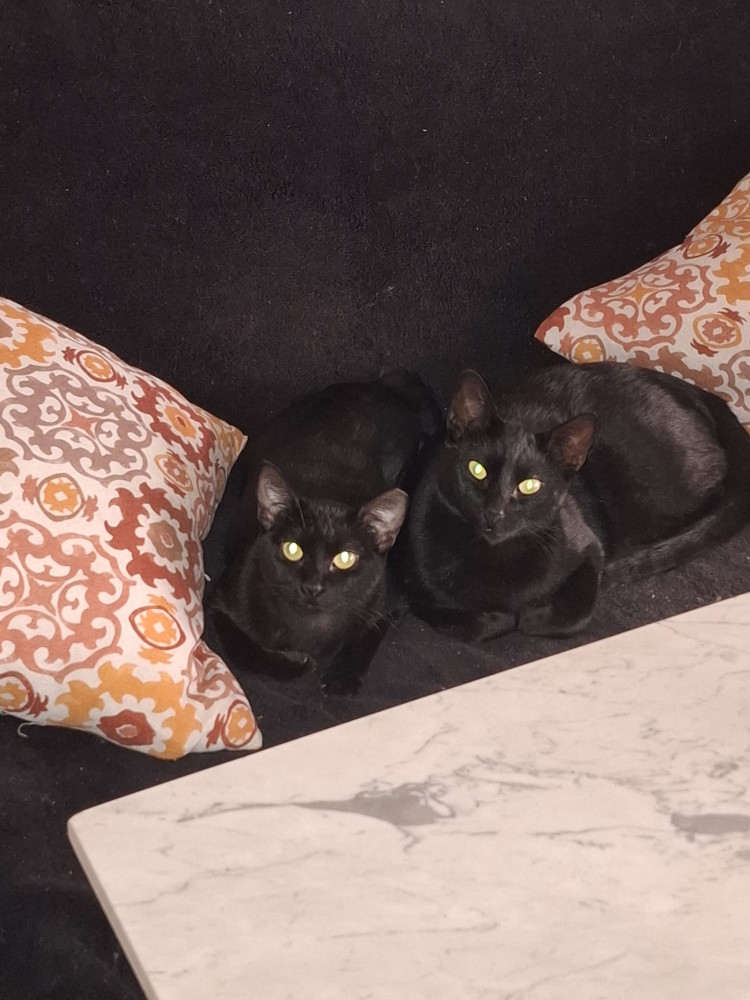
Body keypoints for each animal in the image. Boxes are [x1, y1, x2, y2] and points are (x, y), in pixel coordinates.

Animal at [207, 372, 440, 694]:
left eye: (345, 558)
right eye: (292, 549)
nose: (313, 586)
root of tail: (382, 387)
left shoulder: (393, 597)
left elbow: (369, 632)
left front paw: (341, 677)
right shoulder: (220, 601)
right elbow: (242, 651)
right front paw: (296, 663)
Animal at [401, 361, 750, 642]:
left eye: (530, 485)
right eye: (477, 469)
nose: (494, 513)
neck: (496, 559)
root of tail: (698, 392)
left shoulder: (589, 550)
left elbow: (564, 616)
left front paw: (528, 615)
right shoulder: (417, 591)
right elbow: (481, 624)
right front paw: (502, 616)